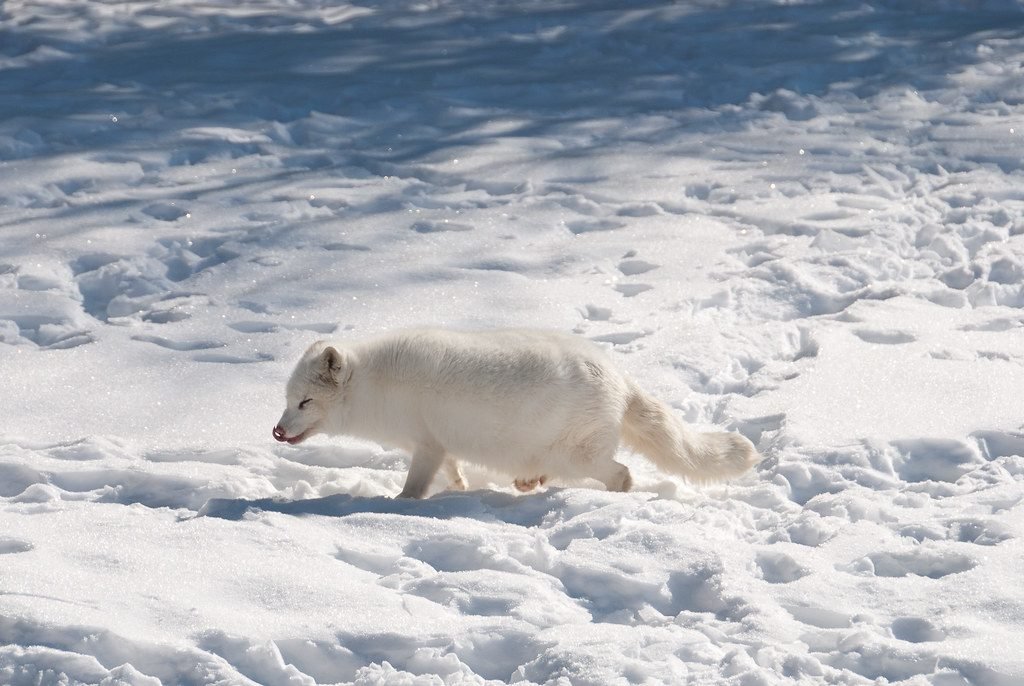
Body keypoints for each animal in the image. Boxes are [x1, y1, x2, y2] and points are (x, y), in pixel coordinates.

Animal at [272, 328, 760, 498]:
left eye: (305, 402)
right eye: (288, 400)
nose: (276, 431)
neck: (375, 385)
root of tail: (620, 380)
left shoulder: (425, 445)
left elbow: (413, 489)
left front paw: (396, 508)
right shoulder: (434, 445)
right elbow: (452, 470)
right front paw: (459, 486)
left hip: (580, 456)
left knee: (621, 474)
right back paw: (529, 481)